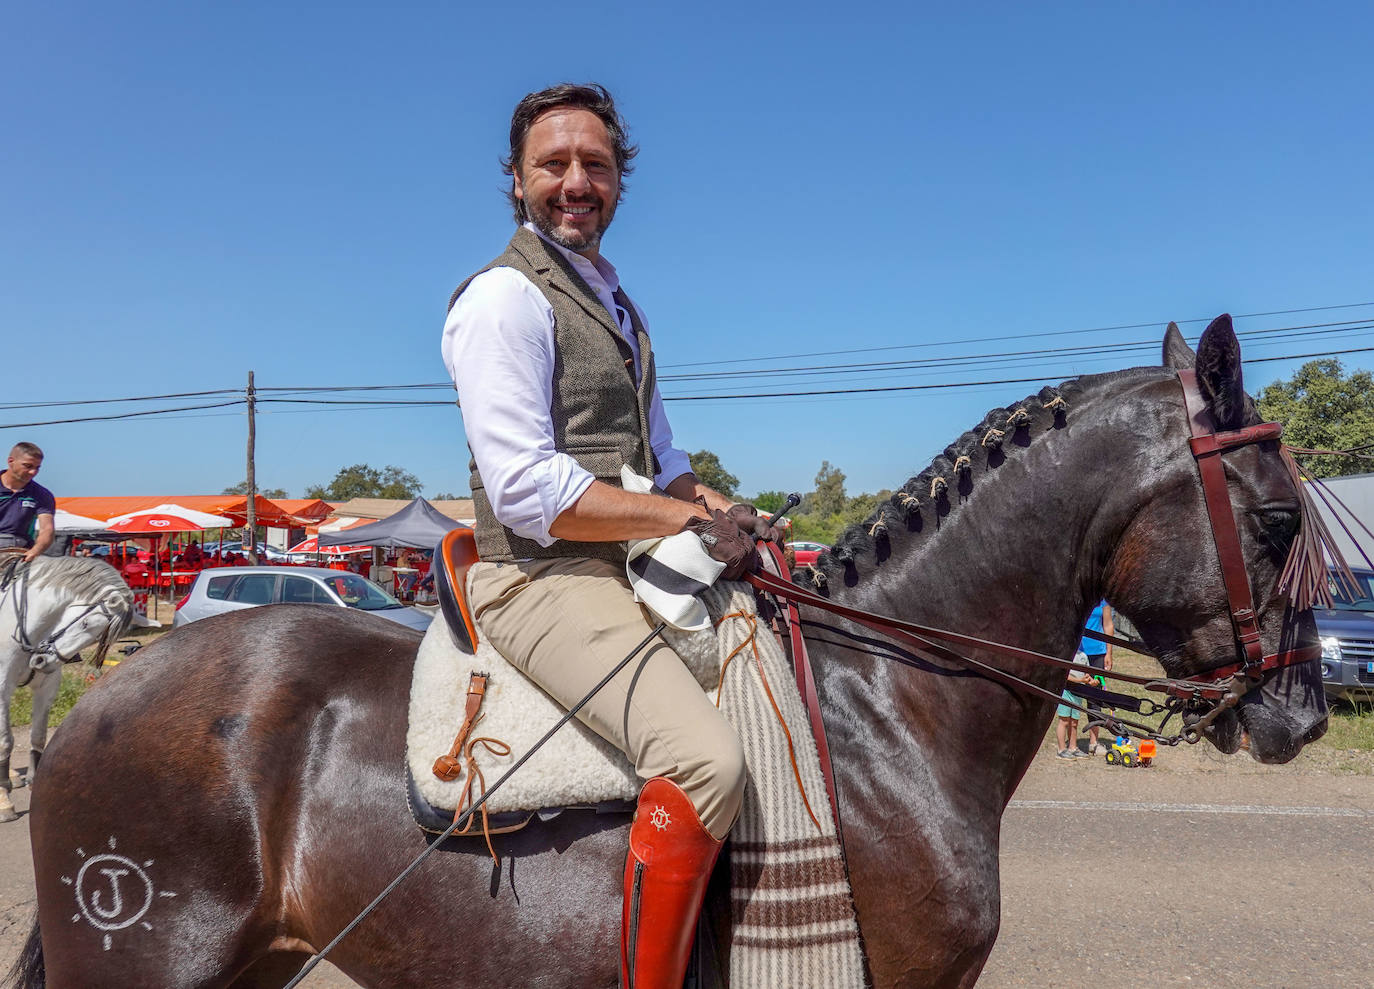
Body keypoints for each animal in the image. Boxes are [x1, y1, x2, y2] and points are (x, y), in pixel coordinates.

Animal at [0, 554, 144, 818]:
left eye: (98, 638)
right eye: (85, 623)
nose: (41, 660)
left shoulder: (47, 686)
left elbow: (38, 737)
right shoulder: (2, 684)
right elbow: (6, 740)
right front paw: (3, 796)